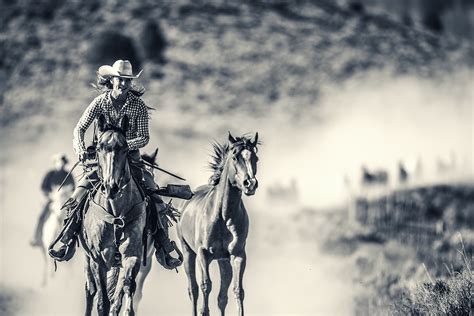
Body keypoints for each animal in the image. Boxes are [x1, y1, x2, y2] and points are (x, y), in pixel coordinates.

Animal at [79, 115, 147, 316]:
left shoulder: (132, 254)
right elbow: (103, 300)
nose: (111, 187)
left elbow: (125, 289)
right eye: (99, 147)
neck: (116, 214)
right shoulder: (97, 259)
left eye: (124, 149)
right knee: (90, 289)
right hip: (87, 259)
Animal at [177, 133, 260, 316]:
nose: (250, 183)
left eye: (256, 158)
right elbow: (205, 286)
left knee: (222, 297)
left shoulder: (238, 255)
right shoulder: (203, 254)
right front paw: (203, 311)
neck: (223, 216)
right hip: (188, 253)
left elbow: (237, 290)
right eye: (235, 157)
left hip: (223, 262)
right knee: (193, 289)